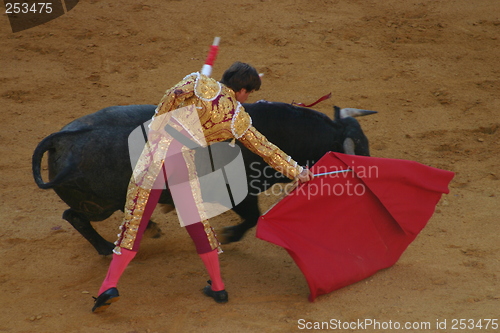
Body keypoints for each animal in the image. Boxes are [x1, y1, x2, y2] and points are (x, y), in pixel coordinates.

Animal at [32, 101, 376, 254]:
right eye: (360, 150)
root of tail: (61, 139)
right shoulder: (238, 193)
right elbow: (253, 217)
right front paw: (228, 235)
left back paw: (148, 227)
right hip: (98, 204)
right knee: (74, 216)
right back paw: (106, 248)